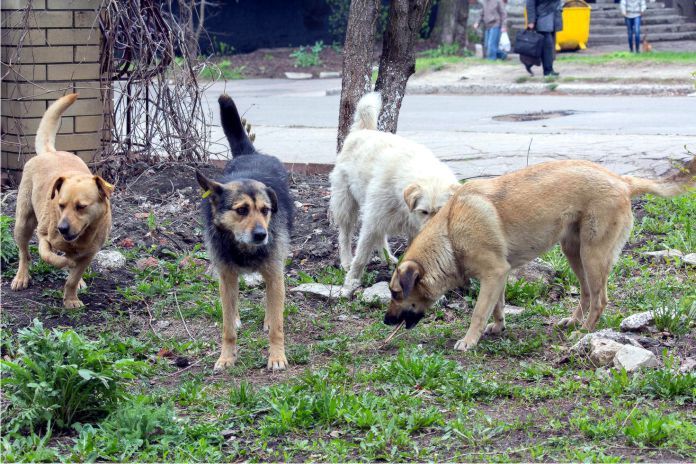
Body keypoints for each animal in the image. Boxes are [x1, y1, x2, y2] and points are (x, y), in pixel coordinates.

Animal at [10, 94, 113, 308]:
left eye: (81, 207)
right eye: (60, 205)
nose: (62, 228)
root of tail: (50, 152)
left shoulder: (89, 253)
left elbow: (73, 278)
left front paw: (71, 298)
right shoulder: (43, 237)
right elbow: (49, 256)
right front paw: (64, 263)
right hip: (23, 222)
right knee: (24, 253)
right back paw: (22, 277)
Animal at [196, 93, 294, 370]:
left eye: (265, 210)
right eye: (241, 210)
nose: (262, 235)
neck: (243, 247)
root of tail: (251, 153)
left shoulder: (274, 273)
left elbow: (278, 325)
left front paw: (277, 356)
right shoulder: (227, 276)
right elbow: (227, 327)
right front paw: (226, 357)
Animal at [330, 92, 460, 292]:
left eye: (441, 211)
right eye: (424, 212)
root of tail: (362, 131)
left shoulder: (412, 230)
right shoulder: (372, 221)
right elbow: (361, 256)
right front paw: (352, 279)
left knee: (380, 236)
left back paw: (387, 258)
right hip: (347, 204)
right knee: (345, 234)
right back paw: (345, 261)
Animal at [386, 158, 696, 350]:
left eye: (396, 293)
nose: (386, 321)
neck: (450, 233)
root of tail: (622, 180)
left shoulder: (493, 274)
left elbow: (478, 312)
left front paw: (470, 340)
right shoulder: (499, 276)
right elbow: (496, 307)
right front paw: (497, 327)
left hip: (593, 255)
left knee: (600, 299)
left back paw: (585, 330)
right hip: (574, 252)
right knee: (586, 293)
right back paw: (574, 321)